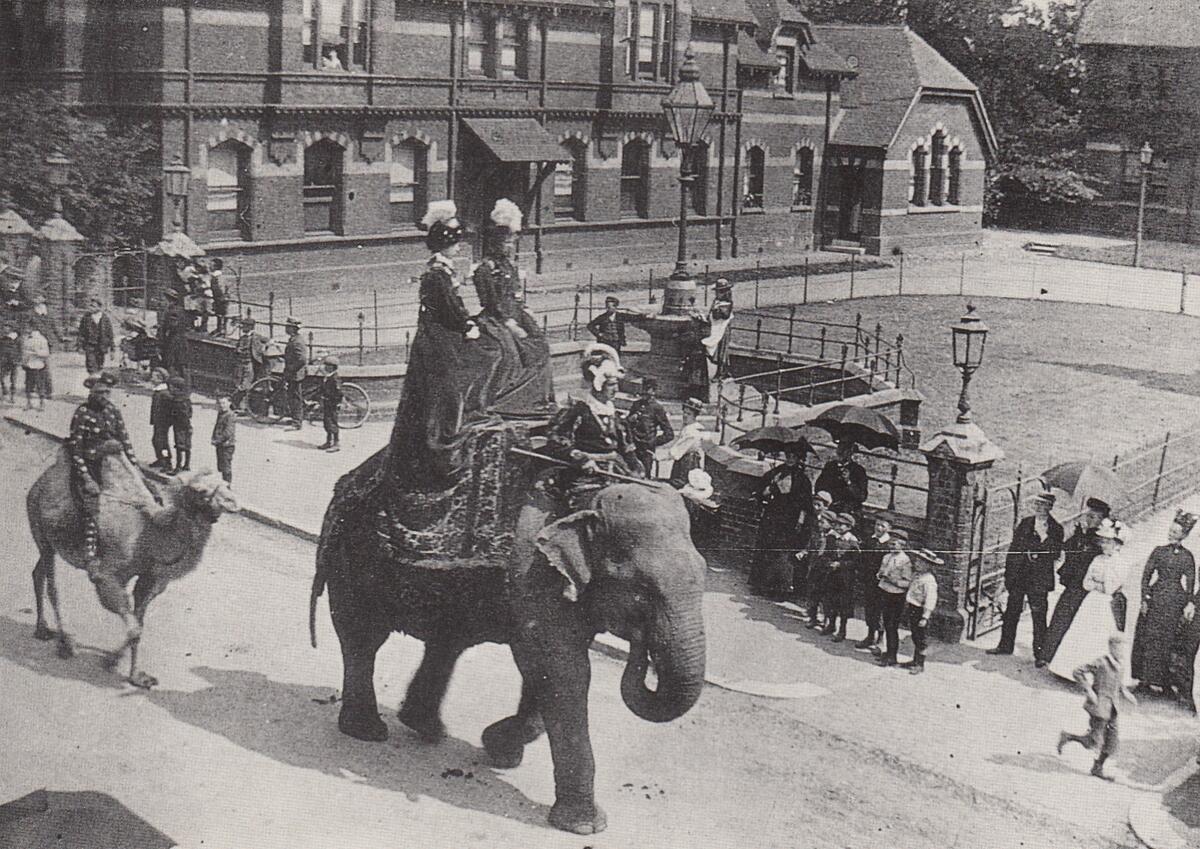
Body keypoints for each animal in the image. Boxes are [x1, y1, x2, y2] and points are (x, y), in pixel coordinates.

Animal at [25, 441, 238, 685]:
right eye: (201, 491)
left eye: (226, 483)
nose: (233, 502)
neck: (150, 535)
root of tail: (39, 482)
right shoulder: (106, 575)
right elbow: (134, 627)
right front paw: (111, 661)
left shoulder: (150, 580)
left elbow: (139, 626)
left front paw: (136, 676)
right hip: (40, 528)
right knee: (52, 586)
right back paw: (64, 643)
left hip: (47, 541)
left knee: (37, 572)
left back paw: (42, 629)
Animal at [309, 470, 705, 834]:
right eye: (642, 590)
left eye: (703, 575)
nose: (641, 642)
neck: (585, 497)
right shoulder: (533, 570)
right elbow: (563, 670)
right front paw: (585, 826)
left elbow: (549, 669)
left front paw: (500, 750)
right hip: (352, 558)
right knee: (362, 638)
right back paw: (368, 731)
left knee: (448, 640)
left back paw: (425, 727)